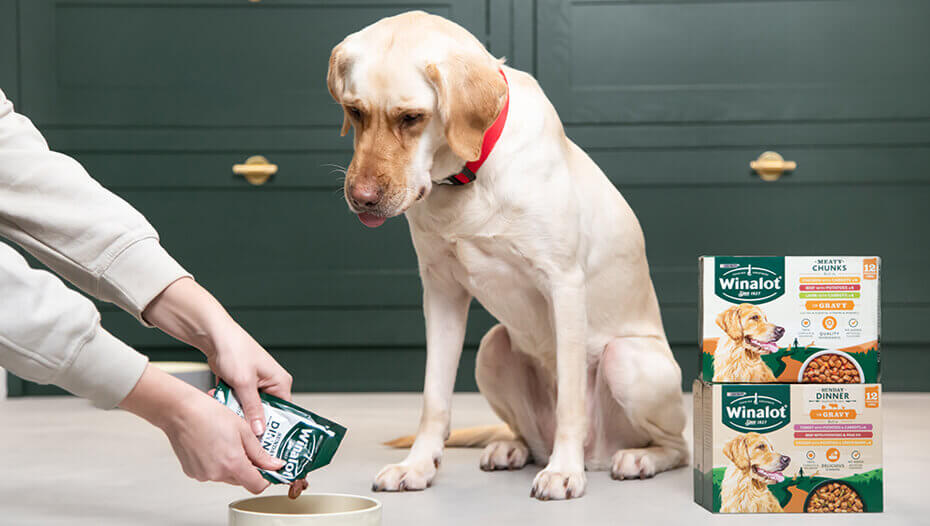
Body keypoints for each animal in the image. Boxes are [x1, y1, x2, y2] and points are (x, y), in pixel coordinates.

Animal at [324, 10, 680, 502]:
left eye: (412, 118)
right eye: (354, 111)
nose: (361, 199)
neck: (470, 173)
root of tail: (599, 453)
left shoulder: (564, 285)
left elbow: (571, 401)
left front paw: (563, 471)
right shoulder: (441, 292)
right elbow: (434, 397)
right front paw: (418, 466)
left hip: (625, 359)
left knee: (678, 445)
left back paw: (635, 458)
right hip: (493, 350)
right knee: (527, 436)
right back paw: (511, 447)